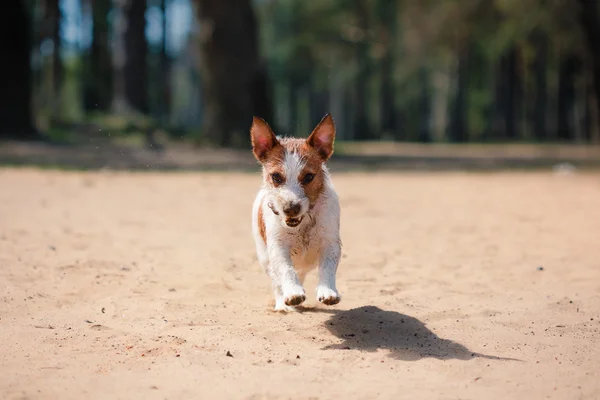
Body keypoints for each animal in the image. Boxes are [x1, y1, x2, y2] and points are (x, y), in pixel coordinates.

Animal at [250, 113, 342, 312]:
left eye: (309, 177)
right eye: (276, 177)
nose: (291, 208)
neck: (303, 224)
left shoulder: (330, 243)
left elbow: (327, 267)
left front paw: (328, 291)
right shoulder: (277, 247)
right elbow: (286, 269)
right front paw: (293, 292)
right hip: (265, 258)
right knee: (277, 281)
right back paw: (283, 304)